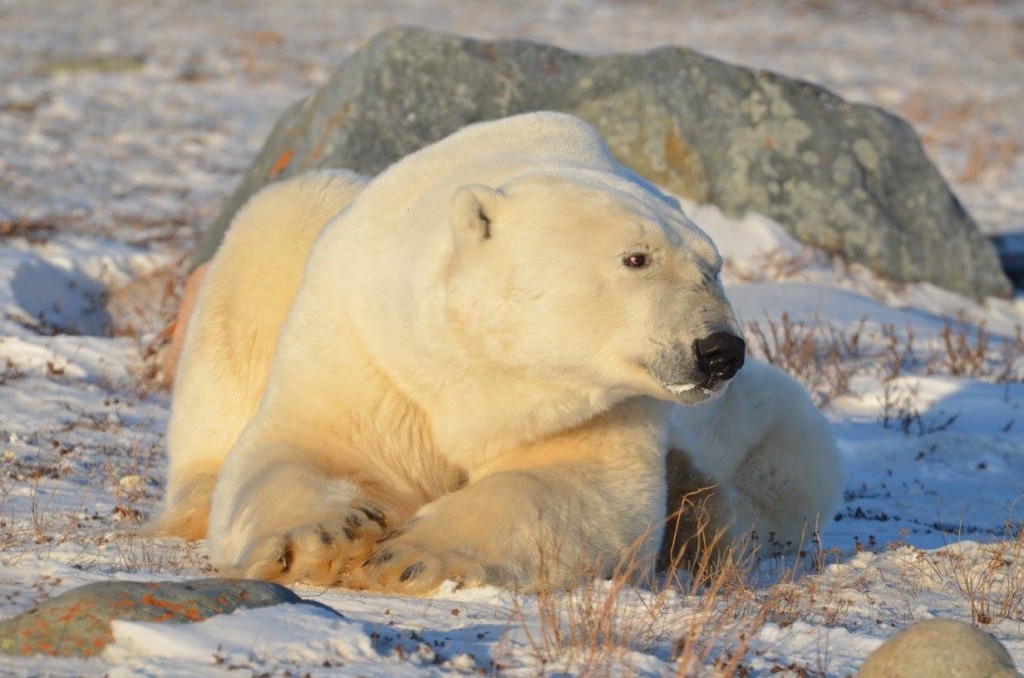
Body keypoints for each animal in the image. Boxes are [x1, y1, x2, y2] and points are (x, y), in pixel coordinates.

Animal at [154, 112, 844, 593]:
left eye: (714, 266)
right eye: (636, 257)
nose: (720, 350)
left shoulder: (597, 403)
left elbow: (577, 487)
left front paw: (411, 555)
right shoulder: (372, 348)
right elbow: (309, 445)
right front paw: (320, 536)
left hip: (767, 420)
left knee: (786, 470)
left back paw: (702, 507)